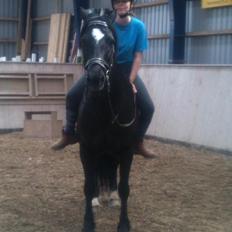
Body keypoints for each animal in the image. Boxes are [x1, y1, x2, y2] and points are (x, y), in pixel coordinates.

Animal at [78, 7, 136, 232]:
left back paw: (111, 197)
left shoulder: (127, 150)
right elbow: (87, 186)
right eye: (84, 40)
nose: (96, 78)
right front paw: (88, 223)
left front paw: (124, 224)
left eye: (111, 41)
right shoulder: (87, 149)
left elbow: (124, 188)